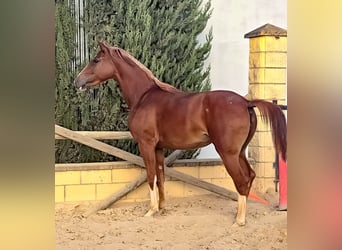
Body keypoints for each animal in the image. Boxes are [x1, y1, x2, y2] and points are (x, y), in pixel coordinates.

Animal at [74, 41, 286, 227]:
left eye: (96, 60)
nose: (77, 81)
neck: (144, 97)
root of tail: (246, 102)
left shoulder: (146, 145)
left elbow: (150, 176)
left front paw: (150, 211)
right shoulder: (159, 148)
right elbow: (160, 177)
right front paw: (161, 208)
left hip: (228, 153)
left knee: (241, 180)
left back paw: (239, 221)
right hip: (240, 152)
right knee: (249, 176)